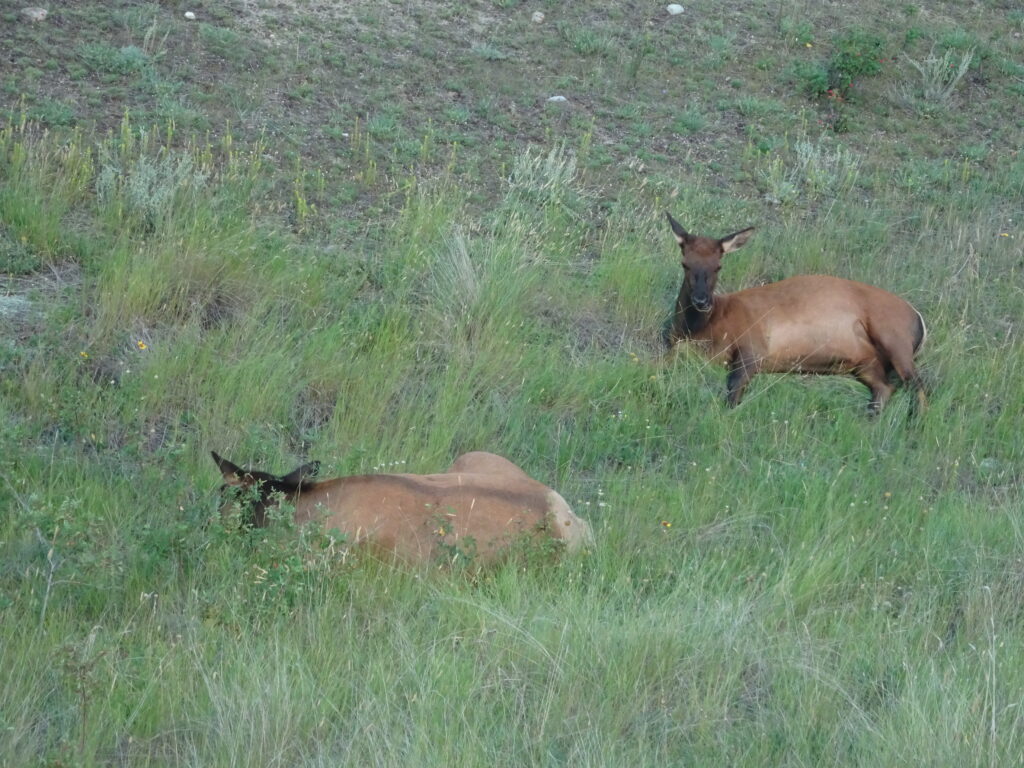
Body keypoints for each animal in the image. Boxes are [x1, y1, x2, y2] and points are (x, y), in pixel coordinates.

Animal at [663, 213, 927, 413]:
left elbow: (733, 390)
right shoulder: (675, 347)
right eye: (685, 264)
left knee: (918, 385)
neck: (705, 328)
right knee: (886, 387)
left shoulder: (754, 345)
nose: (701, 301)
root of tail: (919, 320)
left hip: (893, 335)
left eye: (718, 266)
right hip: (865, 361)